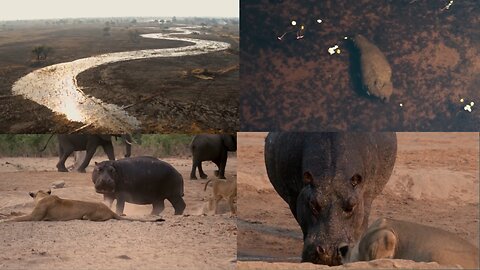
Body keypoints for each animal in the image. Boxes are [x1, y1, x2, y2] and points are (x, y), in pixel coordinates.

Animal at [264, 133, 396, 266]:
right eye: (313, 204)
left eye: (351, 206)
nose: (330, 252)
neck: (332, 177)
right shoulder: (294, 197)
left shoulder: (366, 197)